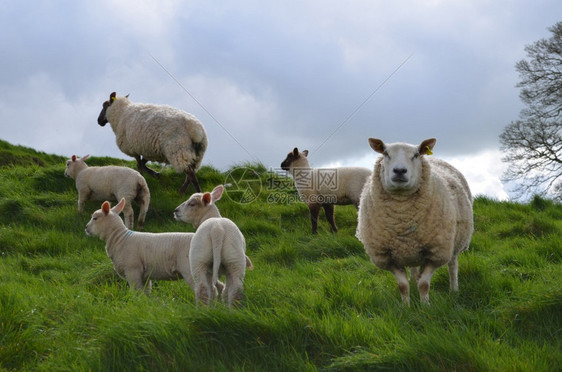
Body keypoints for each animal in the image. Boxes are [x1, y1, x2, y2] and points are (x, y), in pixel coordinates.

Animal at [354, 138, 472, 304]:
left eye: (415, 155)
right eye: (386, 153)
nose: (399, 171)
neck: (402, 216)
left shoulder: (435, 253)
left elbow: (424, 284)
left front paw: (425, 306)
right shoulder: (388, 257)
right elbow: (403, 285)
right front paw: (406, 306)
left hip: (454, 243)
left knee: (453, 266)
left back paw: (454, 290)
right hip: (411, 251)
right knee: (414, 270)